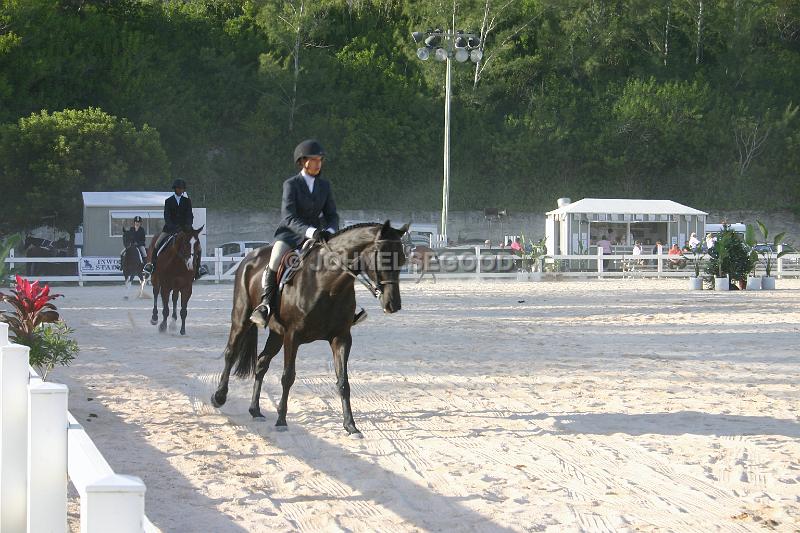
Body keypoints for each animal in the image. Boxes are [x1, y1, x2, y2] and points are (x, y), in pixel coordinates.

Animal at [209, 219, 410, 432]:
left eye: (402, 259)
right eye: (384, 258)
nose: (393, 304)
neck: (327, 285)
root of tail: (250, 257)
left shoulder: (341, 337)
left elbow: (343, 381)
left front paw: (350, 425)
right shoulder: (292, 336)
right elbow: (288, 377)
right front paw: (281, 420)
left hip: (276, 333)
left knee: (262, 362)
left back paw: (255, 410)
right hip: (242, 318)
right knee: (231, 353)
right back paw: (218, 397)